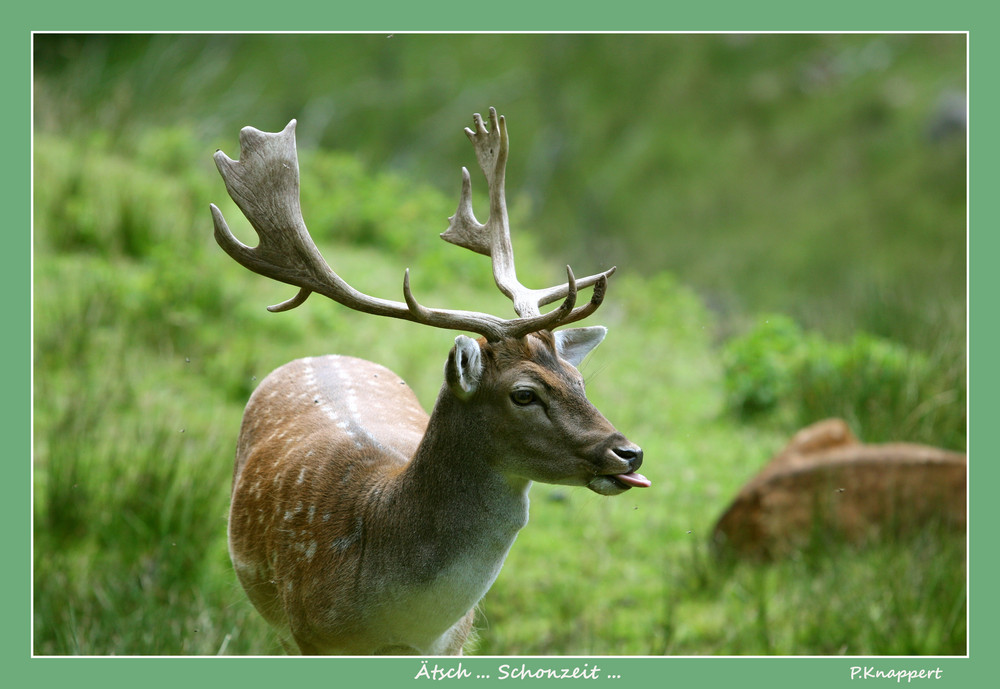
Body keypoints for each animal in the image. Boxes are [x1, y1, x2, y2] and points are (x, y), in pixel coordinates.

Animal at [211, 109, 648, 656]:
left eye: (578, 378)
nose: (629, 452)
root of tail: (322, 354)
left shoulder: (455, 642)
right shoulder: (311, 634)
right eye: (524, 394)